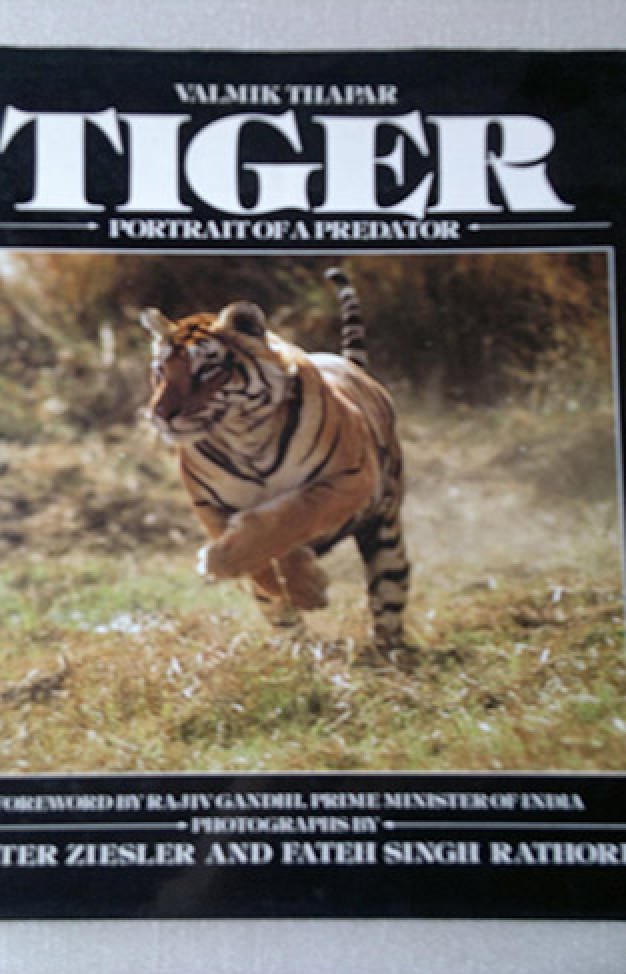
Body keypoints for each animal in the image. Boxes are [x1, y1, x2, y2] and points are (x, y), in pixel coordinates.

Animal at [139, 267, 410, 654]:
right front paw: (304, 589)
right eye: (161, 370)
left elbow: (291, 517)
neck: (245, 434)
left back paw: (388, 655)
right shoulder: (212, 507)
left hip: (385, 538)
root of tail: (351, 365)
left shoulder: (350, 477)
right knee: (284, 617)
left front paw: (221, 562)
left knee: (388, 599)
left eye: (206, 371)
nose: (160, 414)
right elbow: (266, 551)